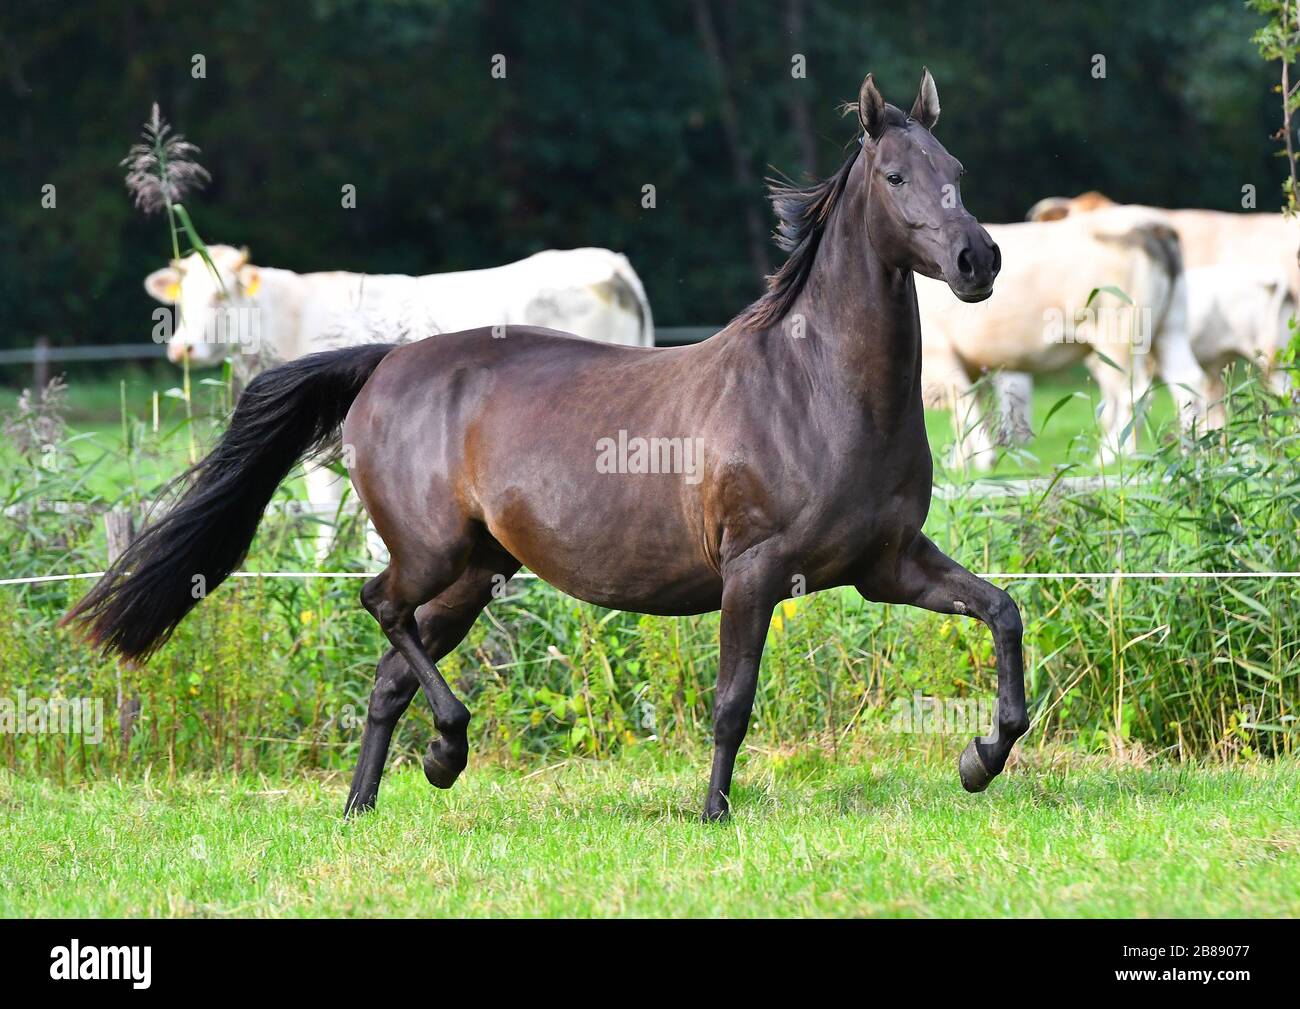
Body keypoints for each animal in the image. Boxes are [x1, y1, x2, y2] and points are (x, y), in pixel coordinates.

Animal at [144, 245, 650, 559]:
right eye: (181, 300)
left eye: (220, 294)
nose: (182, 348)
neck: (289, 315)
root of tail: (609, 264)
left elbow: (330, 516)